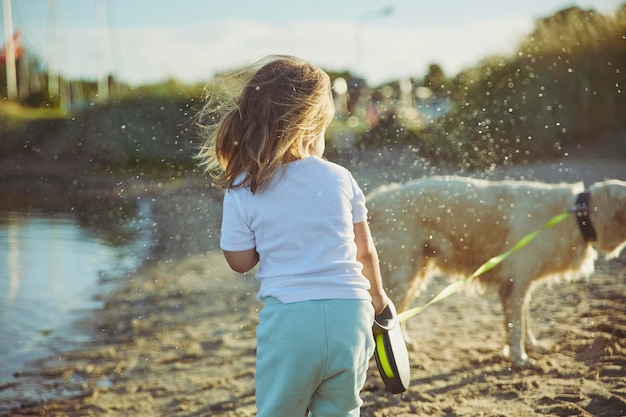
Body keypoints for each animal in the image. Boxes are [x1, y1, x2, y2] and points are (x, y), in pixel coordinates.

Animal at [366, 176, 624, 368]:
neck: (577, 213)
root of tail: (372, 199)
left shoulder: (521, 283)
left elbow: (524, 321)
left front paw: (532, 347)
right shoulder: (515, 281)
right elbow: (516, 325)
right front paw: (520, 358)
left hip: (414, 273)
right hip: (400, 275)